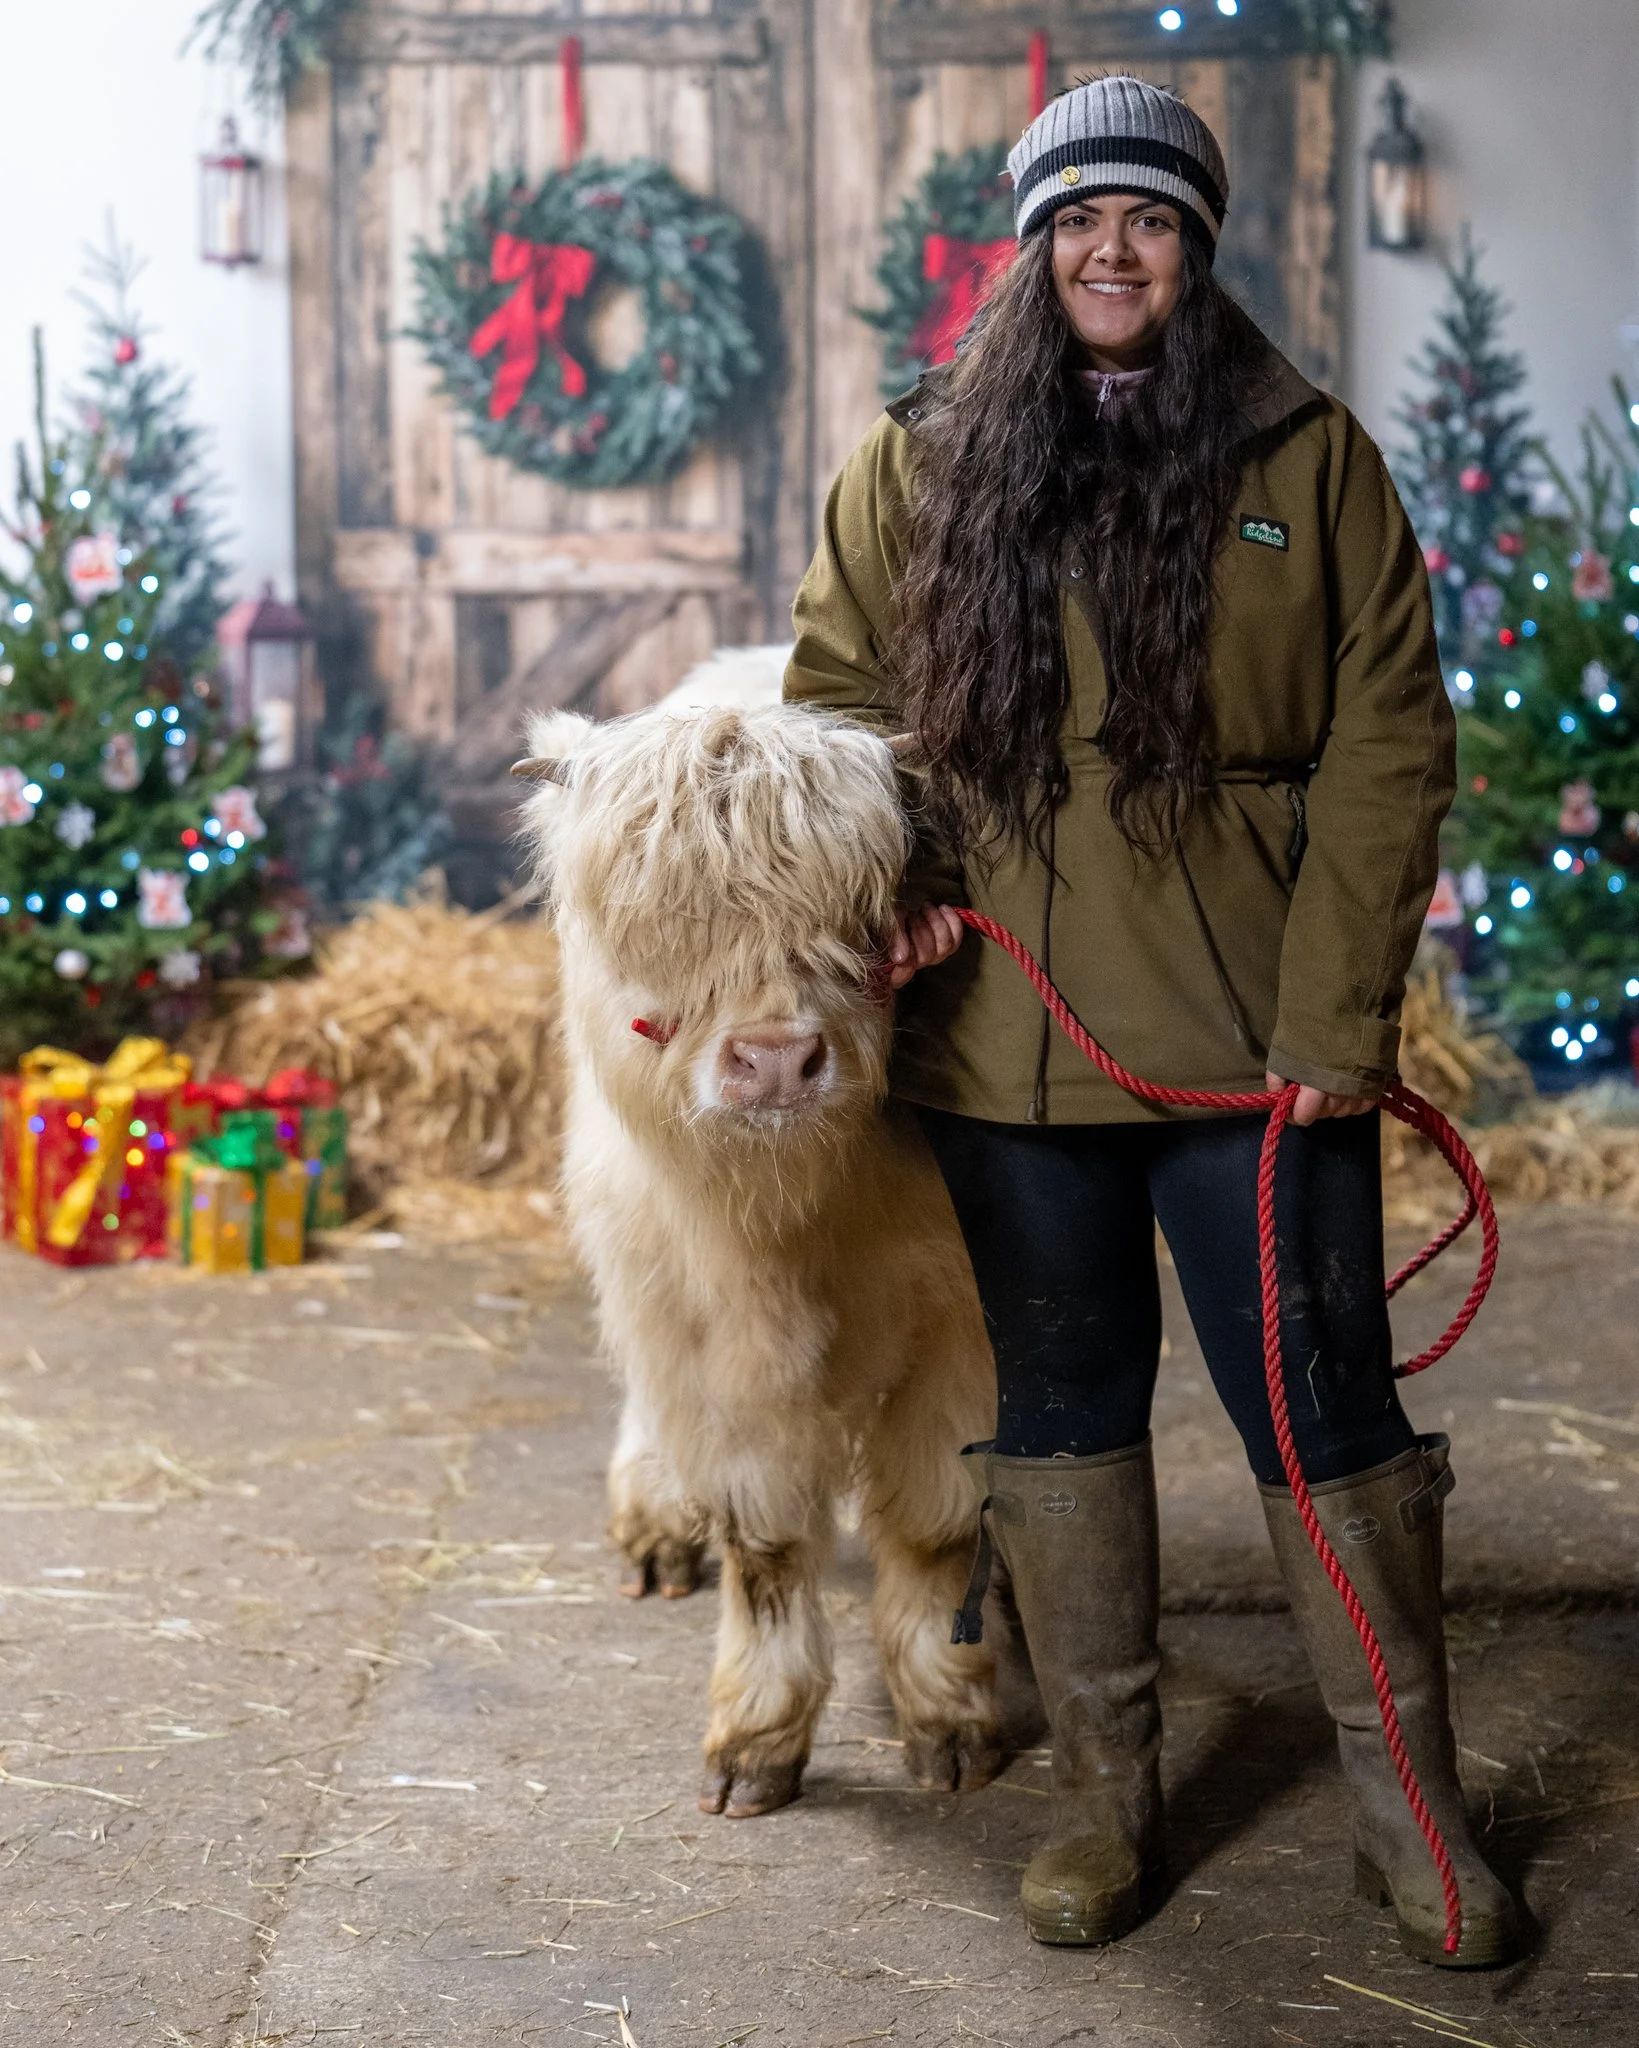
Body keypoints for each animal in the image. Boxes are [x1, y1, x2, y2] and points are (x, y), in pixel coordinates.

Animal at [514, 691, 1009, 1820]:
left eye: (859, 917)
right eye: (652, 926)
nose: (775, 1059)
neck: (791, 1220)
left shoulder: (964, 1326)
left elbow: (937, 1526)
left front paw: (949, 1717)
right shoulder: (709, 1340)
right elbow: (767, 1544)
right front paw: (756, 1736)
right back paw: (655, 1521)